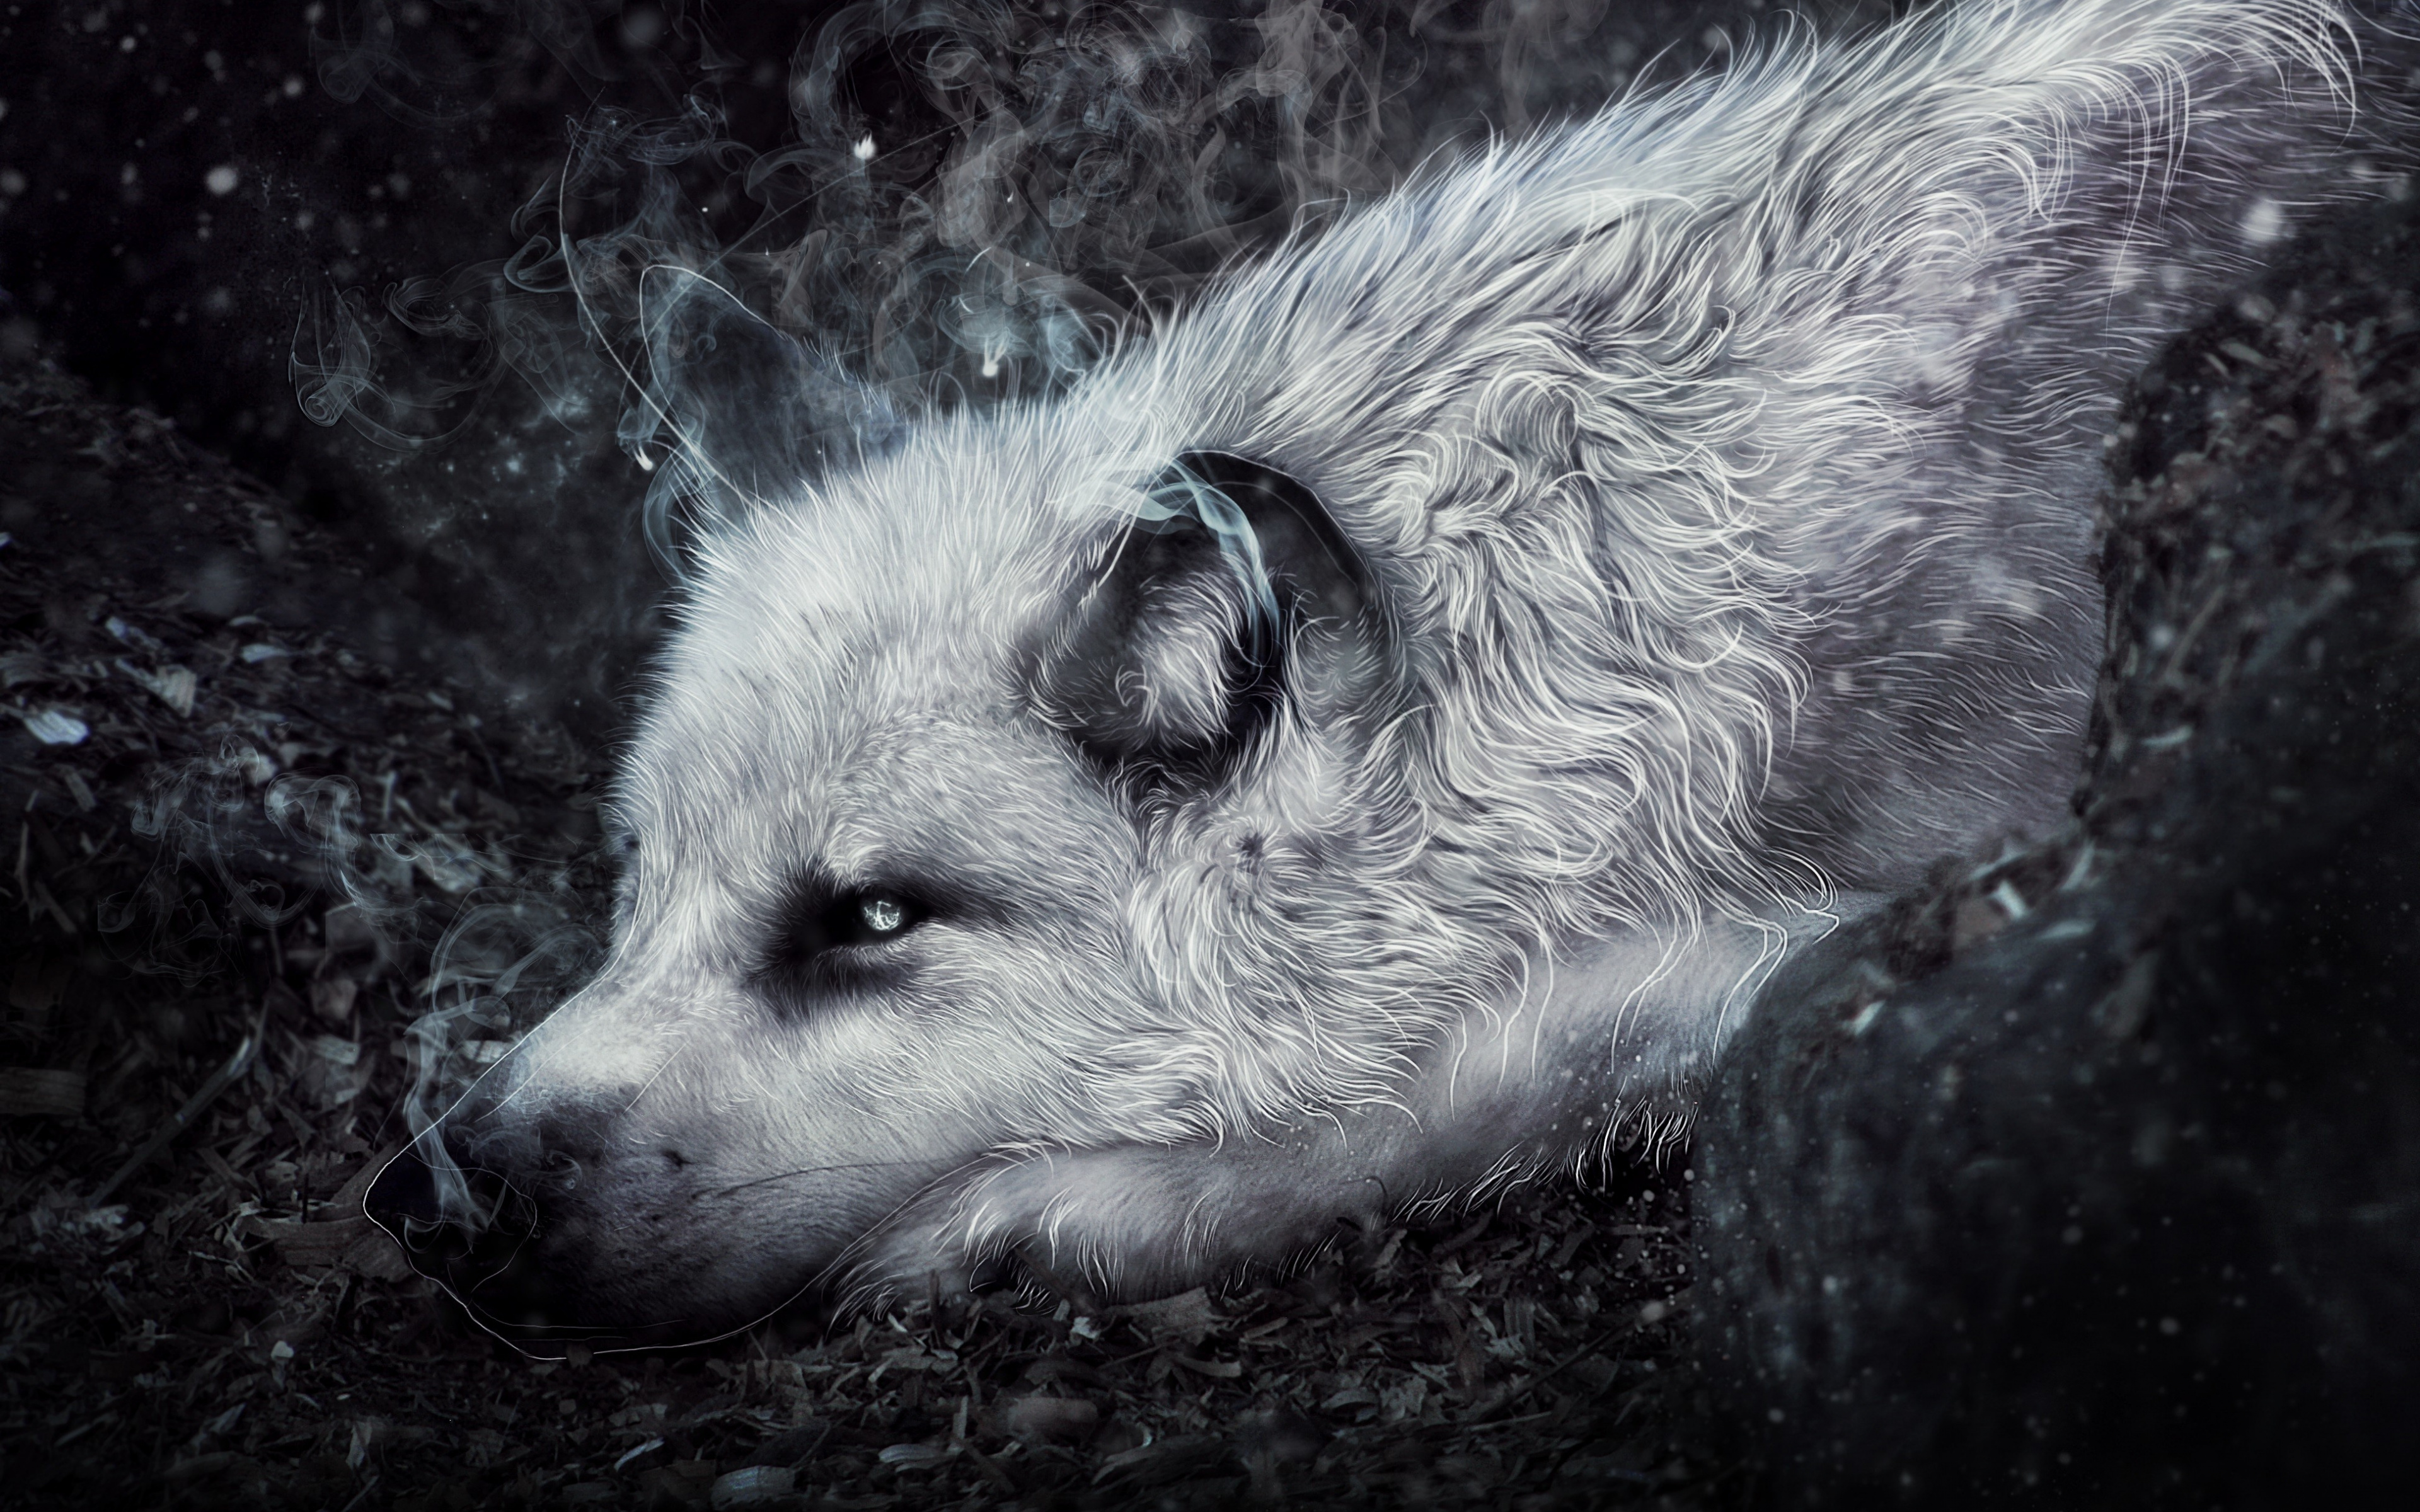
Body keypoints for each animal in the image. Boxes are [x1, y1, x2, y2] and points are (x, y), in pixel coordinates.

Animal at [368, 0, 2402, 1349]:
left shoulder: (1966, 854)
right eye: (635, 885)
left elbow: (1479, 1073)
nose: (425, 1193)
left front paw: (1042, 1213)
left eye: (868, 917)